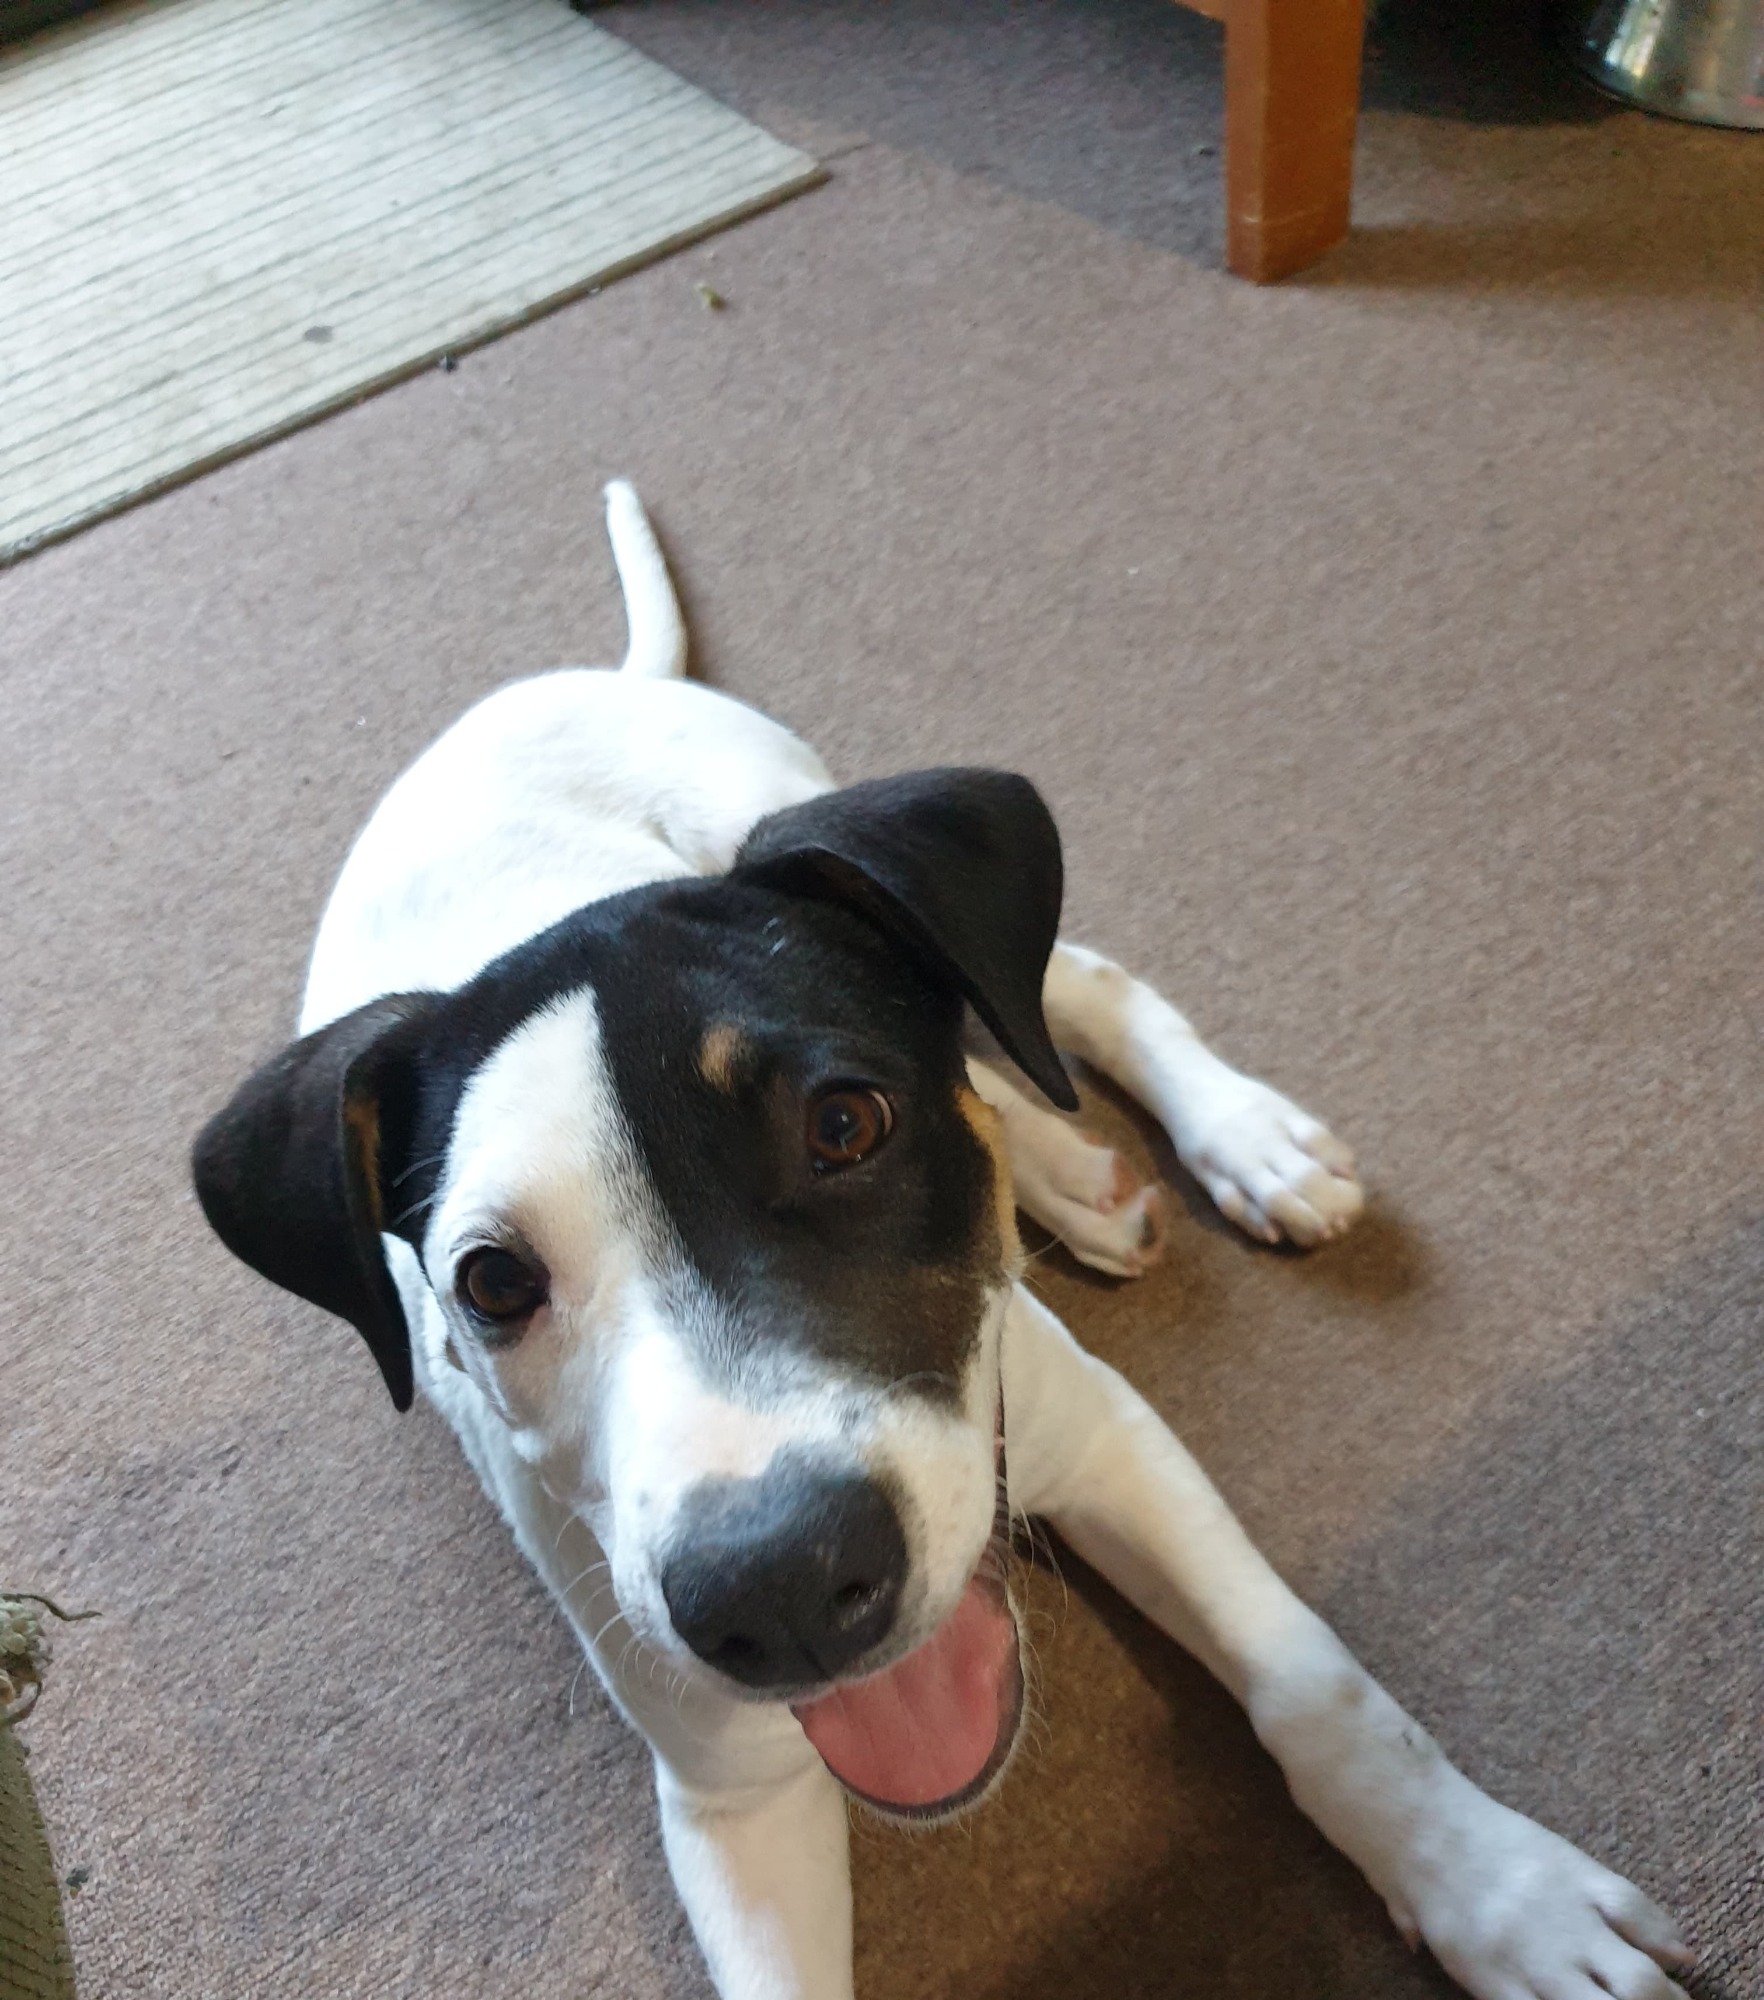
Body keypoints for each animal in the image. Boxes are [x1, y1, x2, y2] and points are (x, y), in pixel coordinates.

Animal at [193, 484, 1690, 2000]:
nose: (784, 1588)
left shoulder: (1112, 1439)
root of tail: (574, 686)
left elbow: (1316, 1682)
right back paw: (1072, 1177)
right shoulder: (728, 1791)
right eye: (493, 1282)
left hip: (784, 815)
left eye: (845, 1121)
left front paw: (1498, 1888)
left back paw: (1239, 1140)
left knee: (1061, 988)